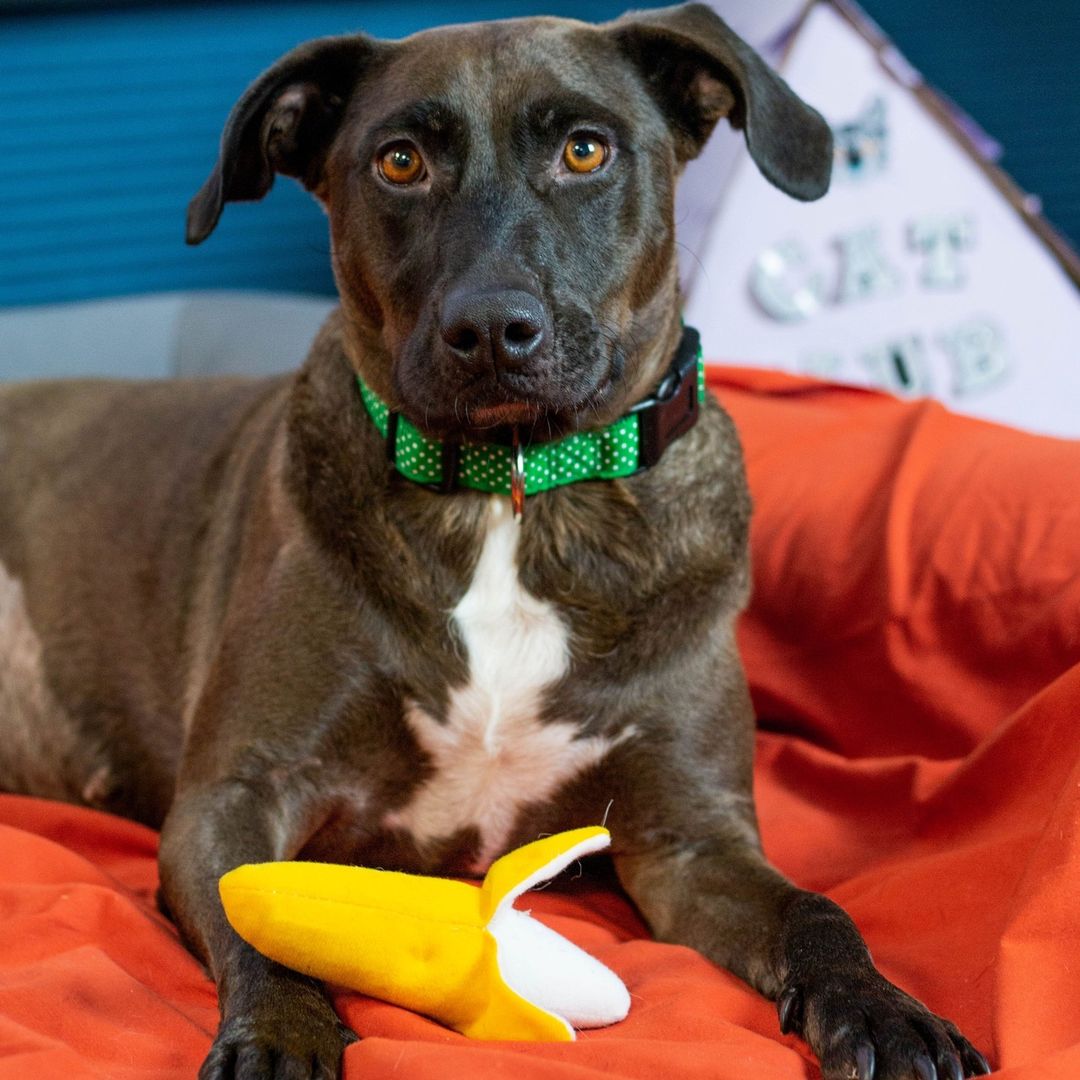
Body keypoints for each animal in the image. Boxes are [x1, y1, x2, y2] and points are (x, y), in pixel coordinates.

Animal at [0, 6, 989, 1080]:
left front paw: (888, 1012)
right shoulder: (233, 792)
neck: (512, 496)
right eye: (398, 162)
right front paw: (280, 1035)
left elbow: (817, 910)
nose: (490, 328)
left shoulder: (692, 839)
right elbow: (258, 916)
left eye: (586, 149)